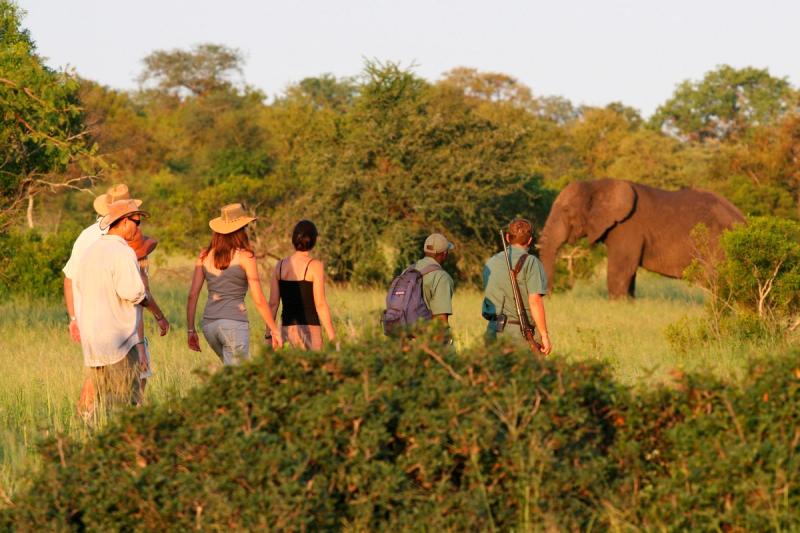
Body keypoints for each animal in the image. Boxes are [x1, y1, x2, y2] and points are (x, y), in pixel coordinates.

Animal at [537, 178, 745, 298]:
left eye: (566, 210)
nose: (548, 297)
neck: (597, 184)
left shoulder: (627, 227)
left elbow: (621, 270)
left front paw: (618, 306)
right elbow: (629, 273)